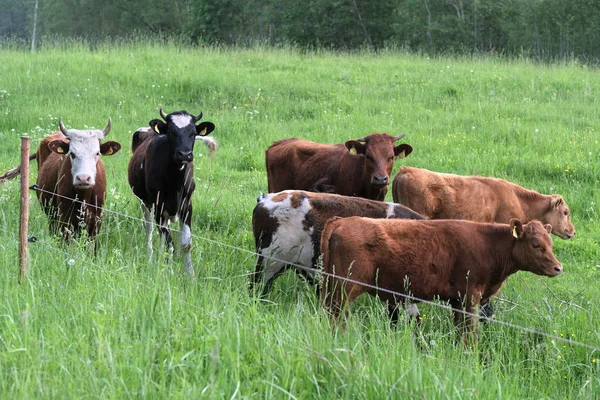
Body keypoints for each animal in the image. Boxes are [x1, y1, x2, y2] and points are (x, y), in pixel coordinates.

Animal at [127, 109, 217, 278]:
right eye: (171, 132)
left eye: (193, 133)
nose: (185, 154)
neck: (175, 181)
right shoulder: (159, 206)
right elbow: (170, 243)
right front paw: (168, 271)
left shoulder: (187, 205)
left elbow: (186, 244)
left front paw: (190, 274)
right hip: (144, 201)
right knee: (149, 228)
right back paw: (151, 257)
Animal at [324, 217, 564, 342]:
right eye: (536, 244)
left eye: (551, 243)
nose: (558, 267)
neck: (488, 245)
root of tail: (342, 221)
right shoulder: (470, 297)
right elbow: (470, 332)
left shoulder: (457, 300)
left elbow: (460, 330)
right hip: (344, 290)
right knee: (337, 319)